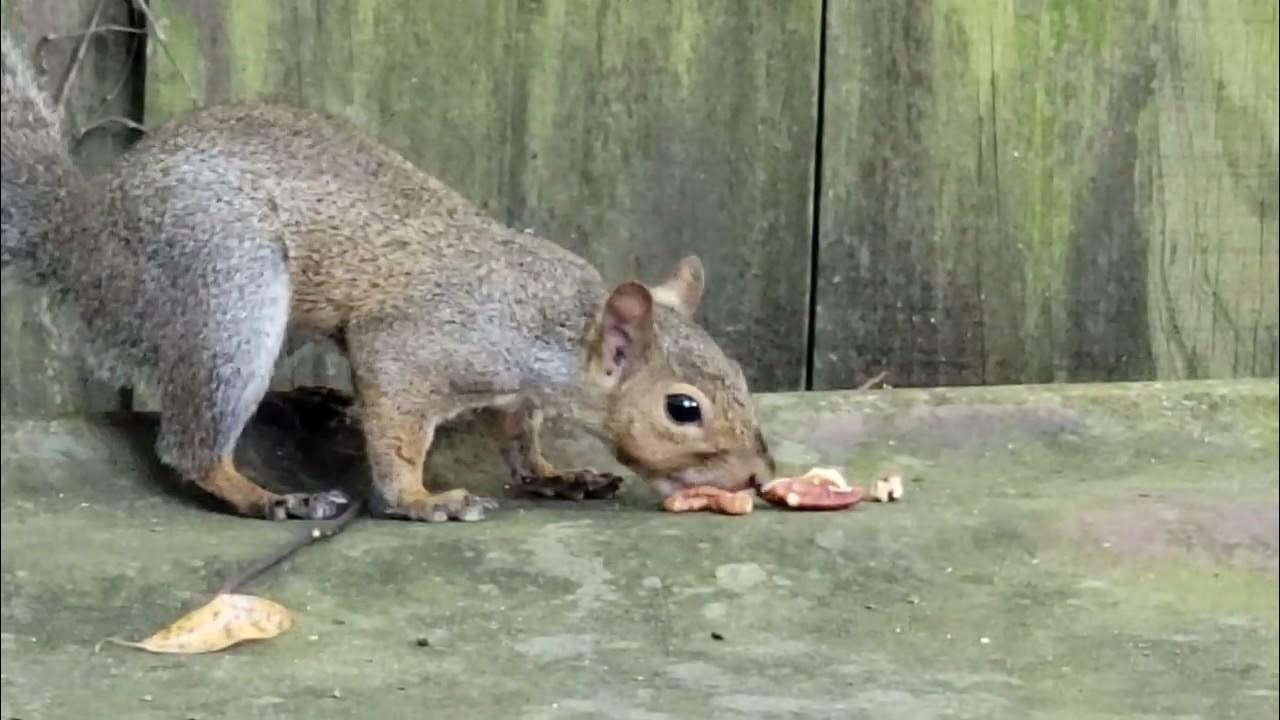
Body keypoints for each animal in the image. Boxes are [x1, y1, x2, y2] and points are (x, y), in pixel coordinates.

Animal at [1, 29, 775, 523]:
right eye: (683, 408)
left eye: (738, 376)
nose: (759, 477)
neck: (549, 320)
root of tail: (87, 241)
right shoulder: (415, 346)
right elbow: (399, 425)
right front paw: (421, 501)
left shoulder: (507, 391)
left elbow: (516, 433)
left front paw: (554, 474)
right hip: (228, 287)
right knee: (190, 445)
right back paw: (267, 496)